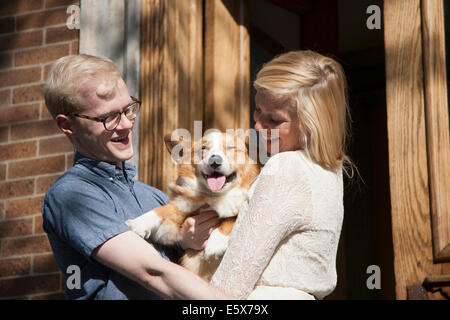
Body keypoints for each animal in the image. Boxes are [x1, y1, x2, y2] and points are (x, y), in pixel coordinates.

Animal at [126, 130, 260, 280]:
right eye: (203, 148)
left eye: (231, 148)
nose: (215, 161)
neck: (214, 196)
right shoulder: (180, 209)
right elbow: (161, 210)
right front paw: (138, 222)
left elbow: (231, 219)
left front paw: (216, 242)